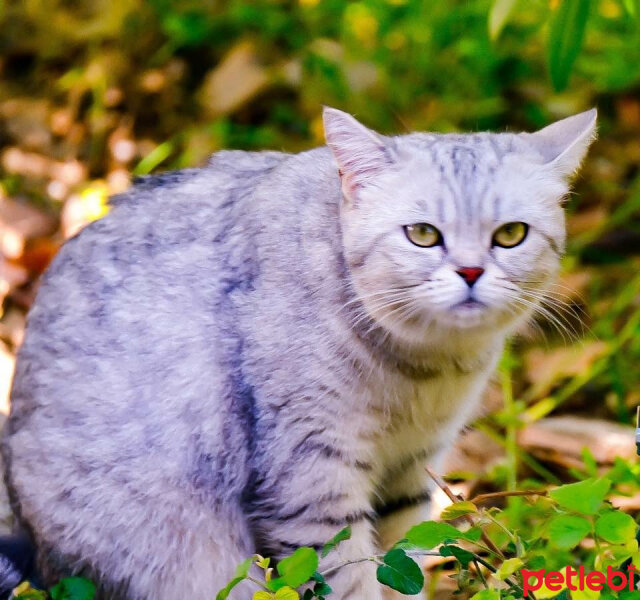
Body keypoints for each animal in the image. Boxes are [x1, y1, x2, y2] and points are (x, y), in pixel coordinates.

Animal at [1, 108, 596, 600]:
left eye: (511, 234)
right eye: (423, 235)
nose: (470, 272)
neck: (423, 368)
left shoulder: (411, 470)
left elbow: (400, 566)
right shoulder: (310, 478)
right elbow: (350, 582)